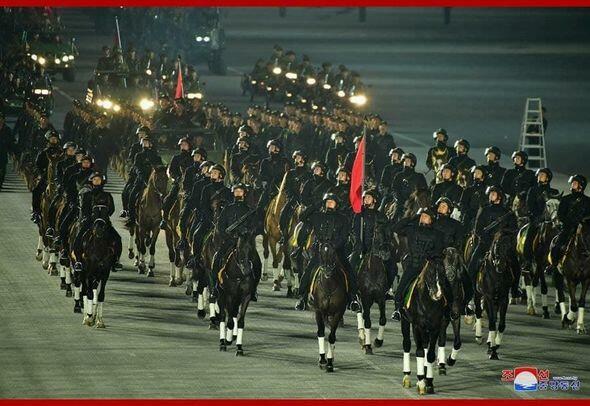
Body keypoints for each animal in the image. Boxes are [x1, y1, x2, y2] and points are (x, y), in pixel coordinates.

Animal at [308, 243, 350, 372]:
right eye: (321, 252)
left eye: (334, 253)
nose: (327, 271)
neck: (329, 286)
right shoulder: (319, 311)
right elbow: (321, 332)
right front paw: (322, 360)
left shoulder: (338, 312)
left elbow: (332, 336)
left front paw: (330, 363)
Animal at [402, 260, 448, 394]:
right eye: (430, 273)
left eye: (443, 272)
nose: (438, 294)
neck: (428, 303)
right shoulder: (417, 326)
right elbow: (420, 352)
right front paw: (421, 381)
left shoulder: (435, 328)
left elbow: (430, 354)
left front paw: (429, 382)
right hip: (405, 321)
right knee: (407, 344)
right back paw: (407, 377)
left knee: (425, 345)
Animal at [474, 230, 516, 360]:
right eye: (497, 244)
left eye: (511, 246)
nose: (500, 264)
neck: (496, 275)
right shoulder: (488, 297)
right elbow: (492, 322)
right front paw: (493, 351)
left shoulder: (503, 299)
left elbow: (501, 323)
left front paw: (495, 345)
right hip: (478, 294)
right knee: (478, 312)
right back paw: (479, 337)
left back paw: (489, 343)